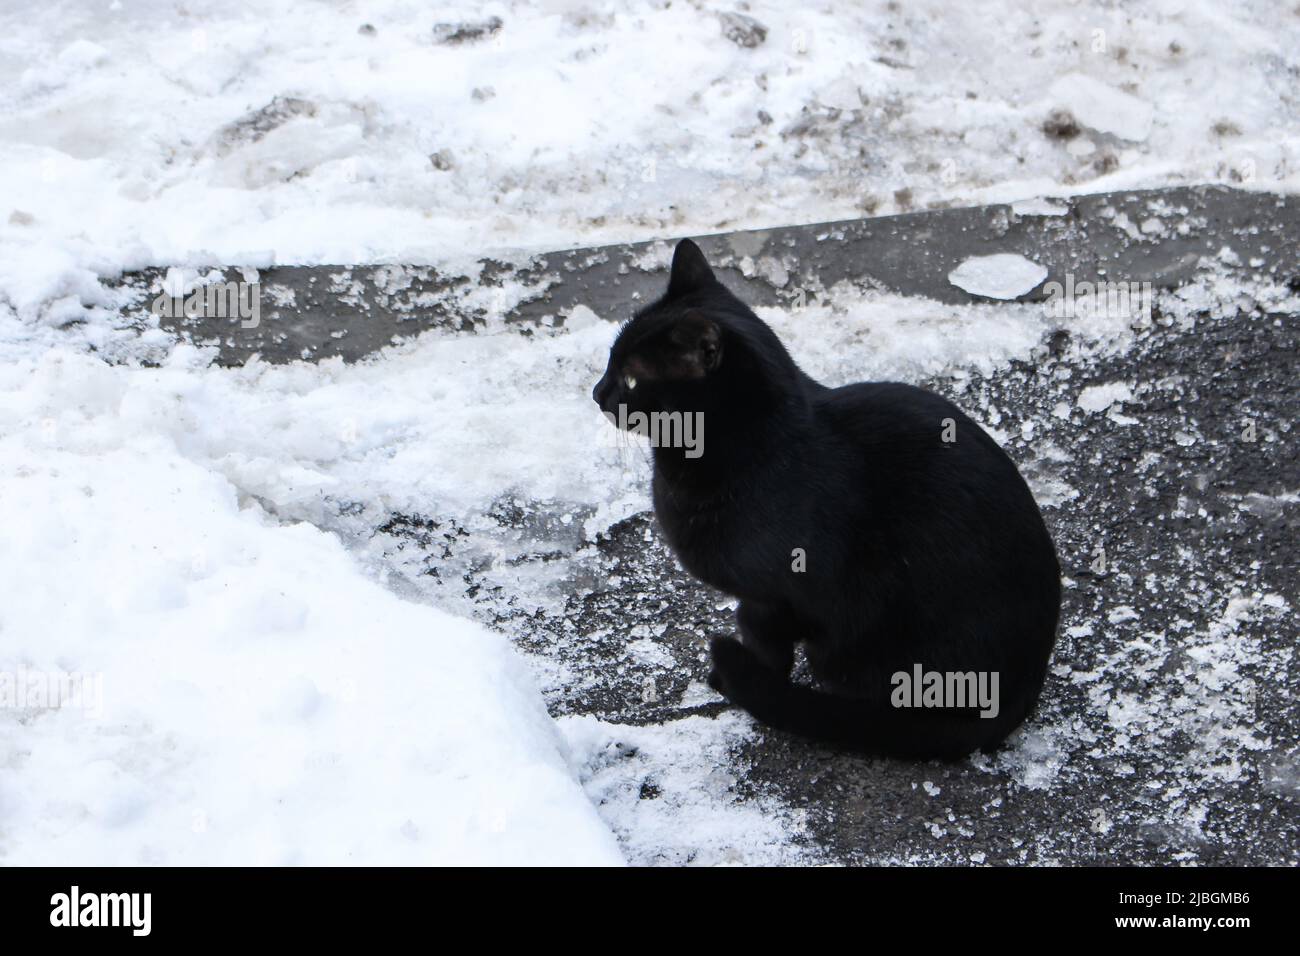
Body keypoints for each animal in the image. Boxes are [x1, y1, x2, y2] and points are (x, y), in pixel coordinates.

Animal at [595, 240, 1060, 764]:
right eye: (610, 360)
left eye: (631, 381)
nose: (596, 393)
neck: (754, 449)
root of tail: (1020, 691)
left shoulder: (772, 597)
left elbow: (762, 643)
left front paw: (742, 682)